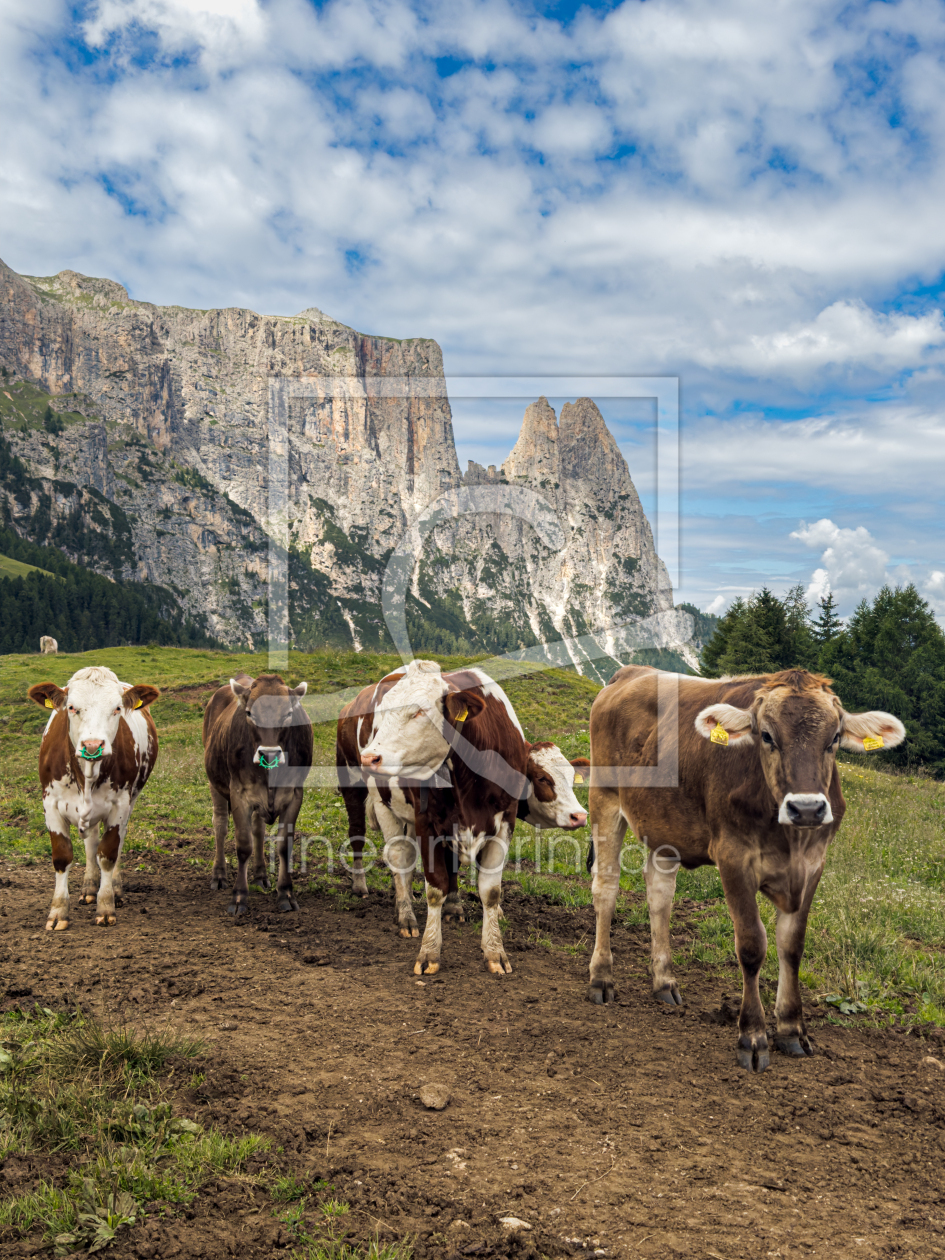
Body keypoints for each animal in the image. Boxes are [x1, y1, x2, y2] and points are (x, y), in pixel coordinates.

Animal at [27, 666, 159, 930]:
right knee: (90, 844)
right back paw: (89, 888)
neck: (87, 774)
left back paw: (115, 890)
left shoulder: (120, 804)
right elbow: (62, 857)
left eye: (117, 708)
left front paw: (106, 906)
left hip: (131, 801)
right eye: (71, 707)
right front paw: (58, 912)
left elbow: (108, 854)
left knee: (115, 842)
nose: (92, 745)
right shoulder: (50, 804)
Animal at [203, 672, 312, 917]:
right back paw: (219, 874)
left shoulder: (295, 795)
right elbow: (243, 845)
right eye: (249, 713)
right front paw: (239, 897)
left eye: (288, 714)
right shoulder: (239, 793)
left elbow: (284, 845)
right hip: (215, 784)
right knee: (220, 826)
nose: (268, 753)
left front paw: (285, 893)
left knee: (258, 830)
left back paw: (261, 875)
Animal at [337, 660, 588, 975]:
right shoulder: (428, 823)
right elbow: (435, 888)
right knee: (387, 852)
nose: (579, 815)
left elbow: (489, 890)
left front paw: (494, 949)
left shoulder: (503, 823)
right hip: (362, 791)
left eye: (419, 711)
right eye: (543, 778)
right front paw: (429, 952)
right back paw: (396, 908)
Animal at [586, 667, 905, 1072]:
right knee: (606, 888)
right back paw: (601, 978)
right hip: (605, 797)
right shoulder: (733, 857)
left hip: (664, 825)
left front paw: (791, 1029)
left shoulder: (814, 864)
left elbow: (792, 946)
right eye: (766, 735)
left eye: (834, 738)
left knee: (660, 897)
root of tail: (631, 672)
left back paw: (664, 982)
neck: (789, 838)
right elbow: (752, 946)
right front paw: (753, 1036)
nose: (806, 808)